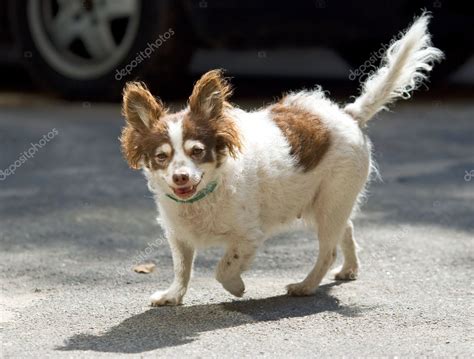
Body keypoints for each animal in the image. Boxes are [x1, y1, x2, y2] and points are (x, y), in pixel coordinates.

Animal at [120, 14, 442, 306]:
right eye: (162, 157)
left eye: (197, 151)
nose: (181, 177)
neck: (203, 196)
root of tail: (348, 114)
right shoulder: (179, 237)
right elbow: (182, 269)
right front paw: (173, 296)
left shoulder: (248, 236)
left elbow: (222, 269)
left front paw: (236, 287)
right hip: (328, 205)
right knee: (347, 229)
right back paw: (349, 269)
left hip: (329, 203)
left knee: (328, 251)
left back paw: (305, 286)